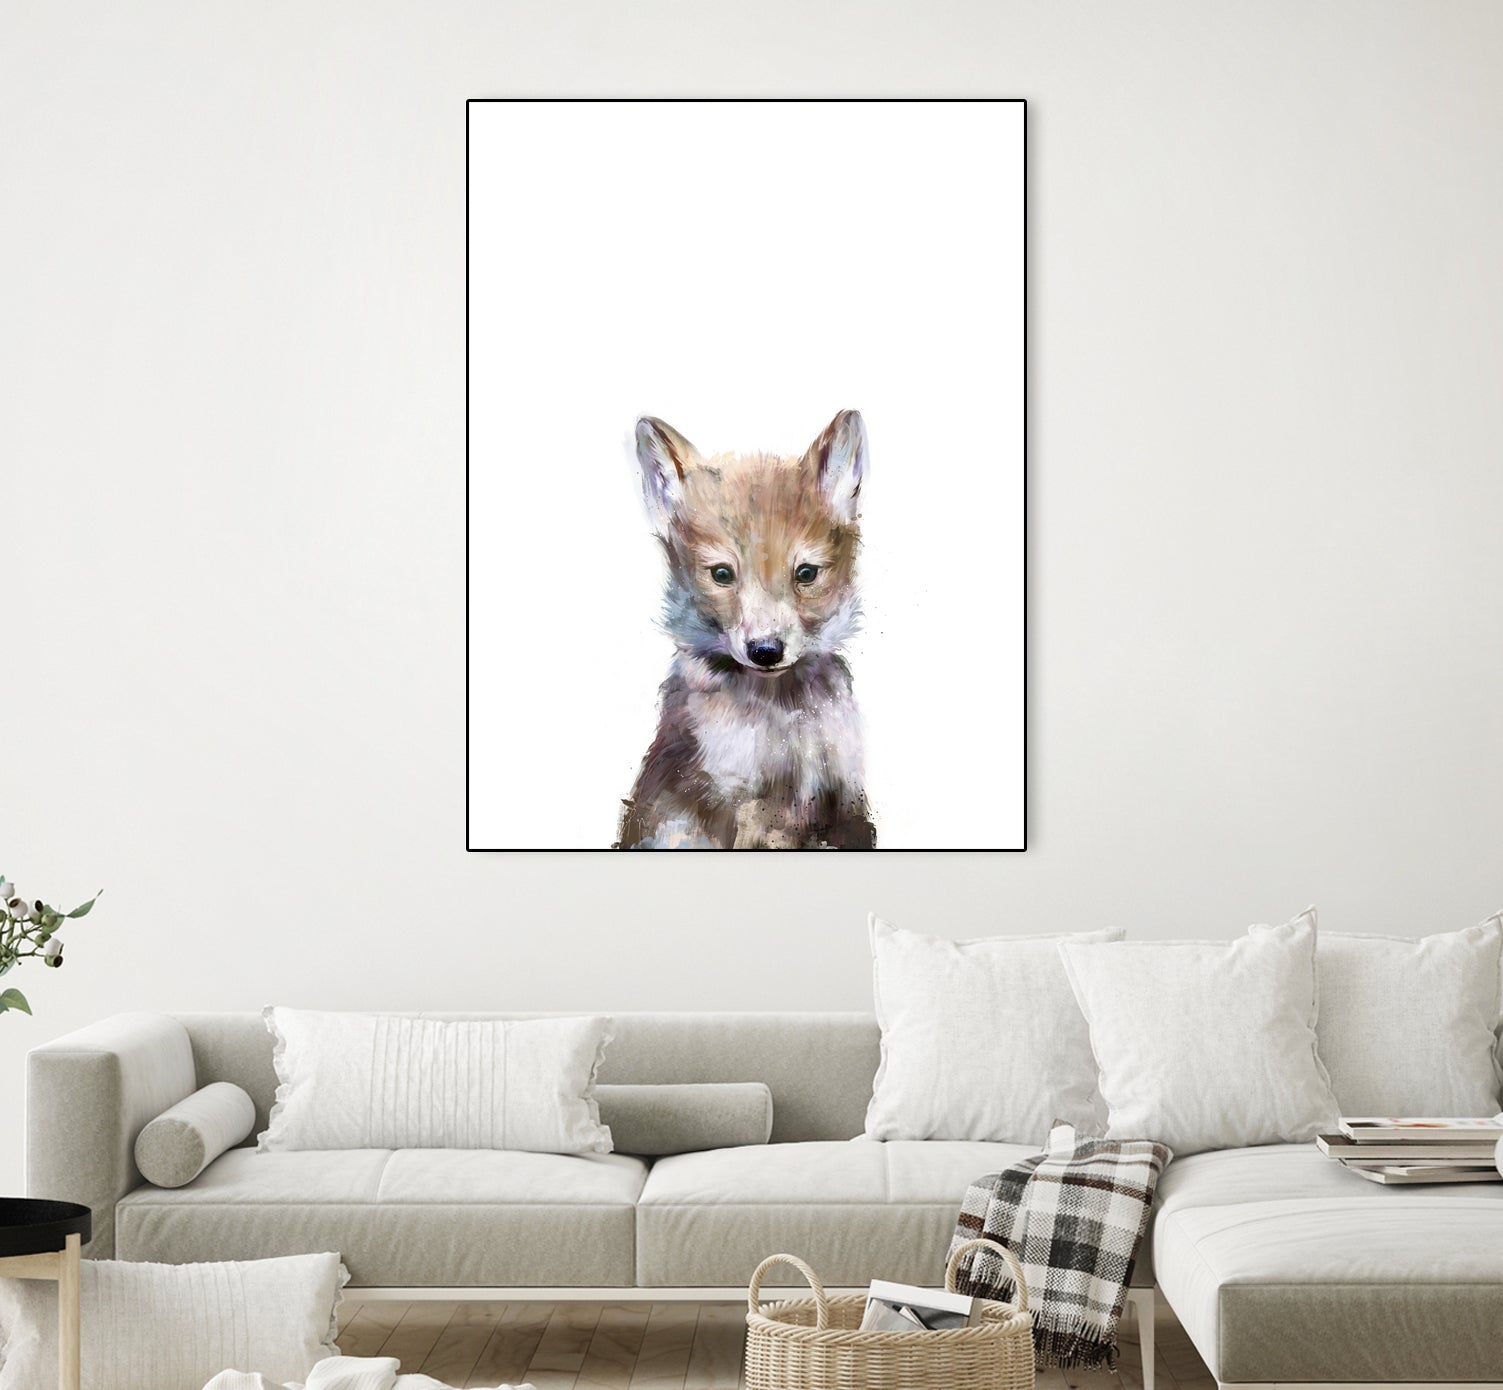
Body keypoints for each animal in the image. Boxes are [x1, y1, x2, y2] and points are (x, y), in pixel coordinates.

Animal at [615, 410, 877, 850]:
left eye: (806, 573)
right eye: (722, 574)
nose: (766, 651)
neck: (782, 719)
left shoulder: (843, 799)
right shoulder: (737, 802)